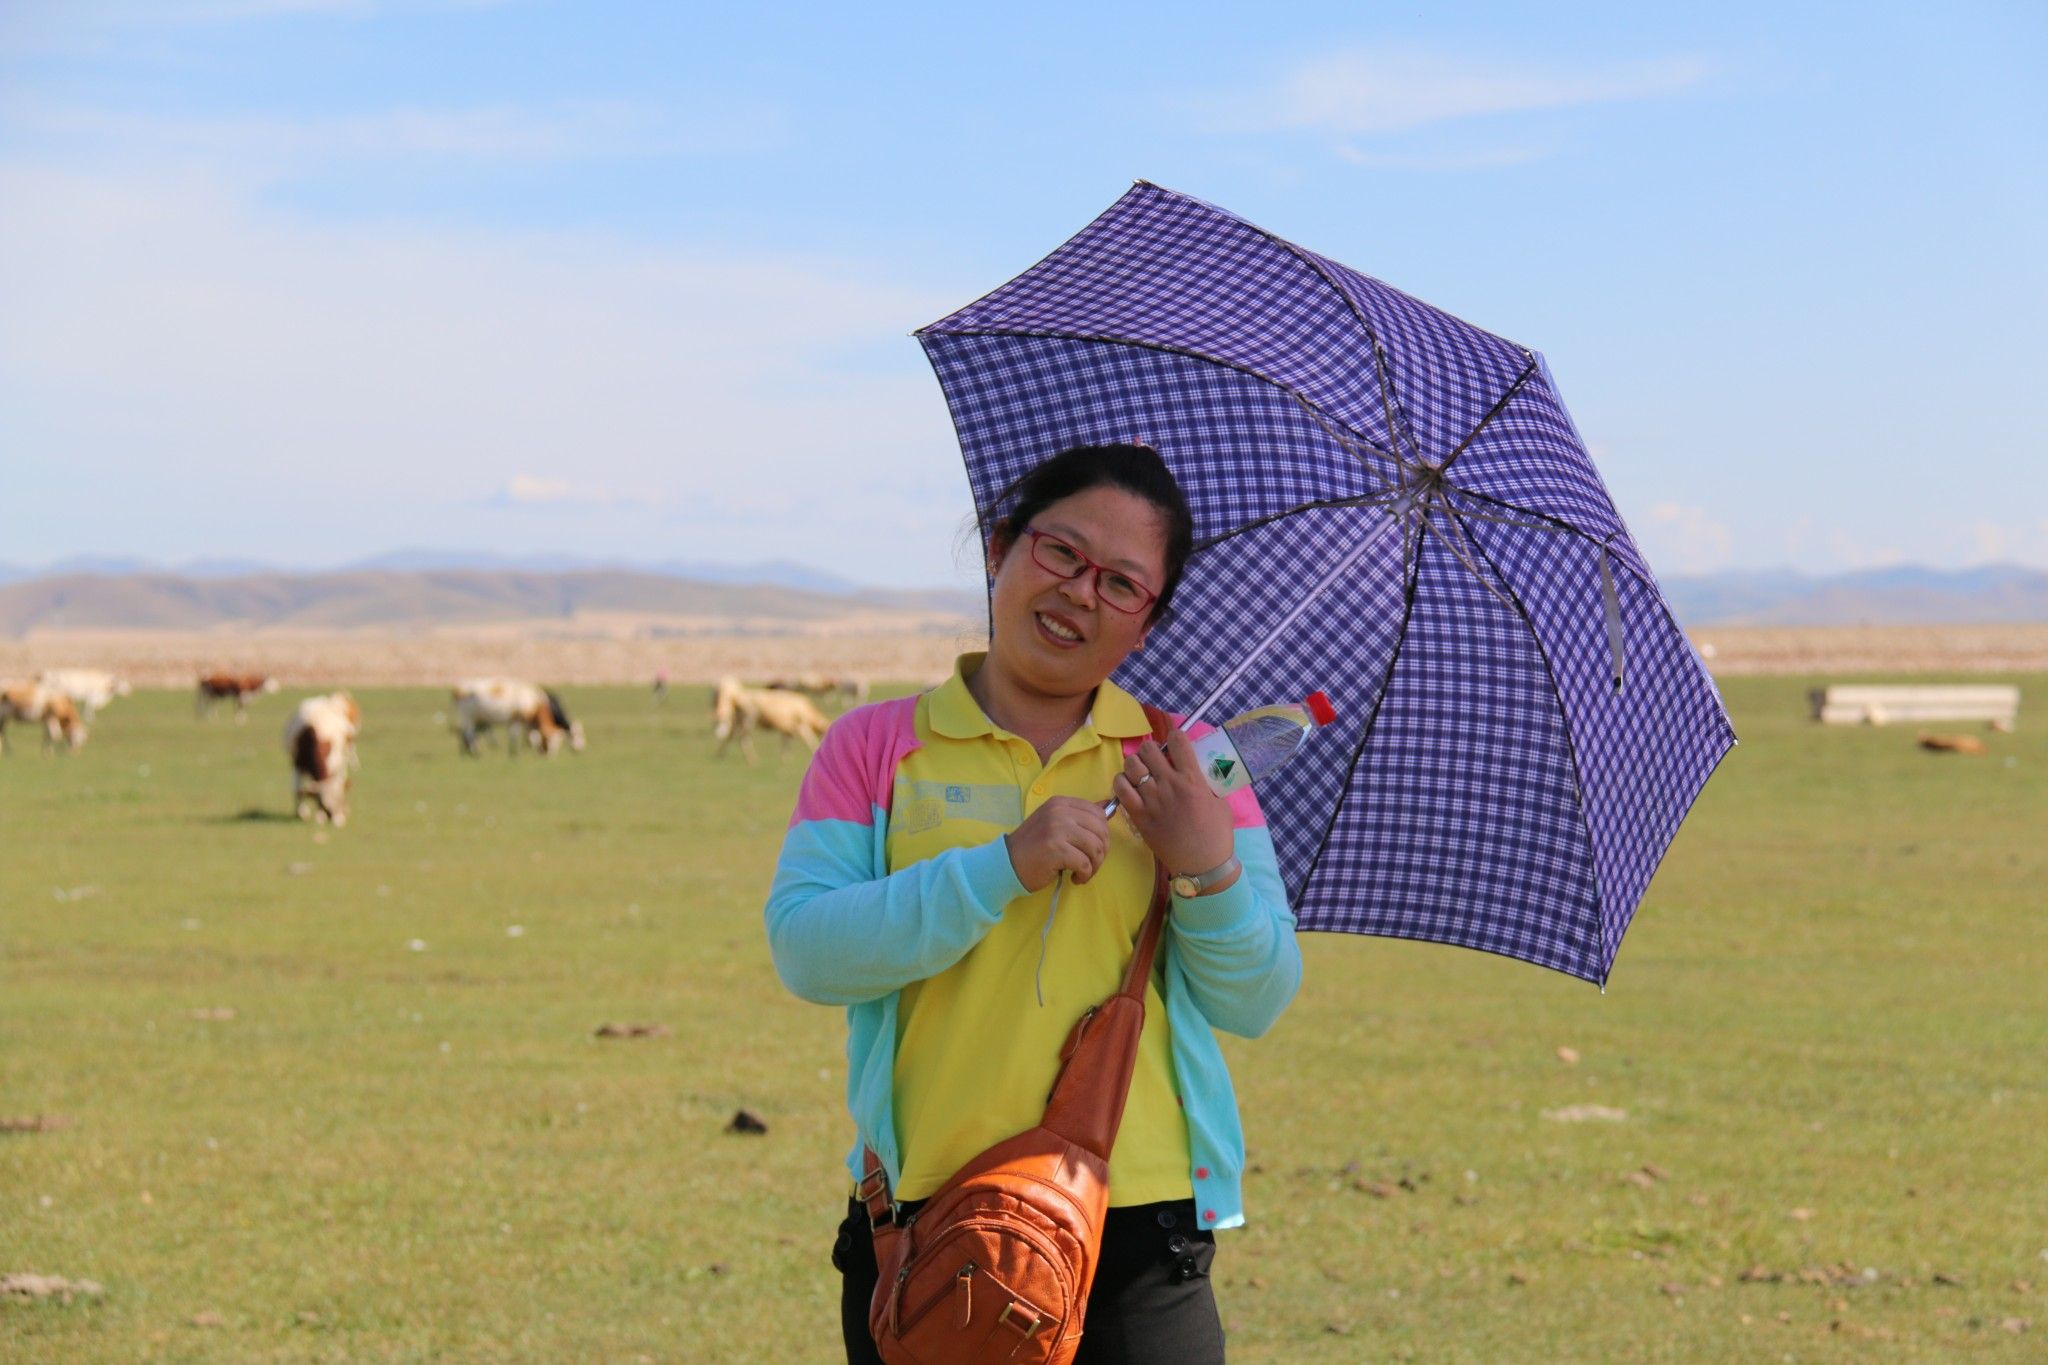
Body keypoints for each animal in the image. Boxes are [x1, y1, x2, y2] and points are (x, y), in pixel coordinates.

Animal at [444, 679, 581, 757]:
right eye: (574, 735)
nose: (580, 749)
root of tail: (457, 689)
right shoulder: (518, 719)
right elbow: (519, 736)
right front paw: (515, 753)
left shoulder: (524, 721)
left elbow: (529, 736)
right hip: (468, 715)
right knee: (469, 733)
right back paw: (475, 753)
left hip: (476, 717)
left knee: (467, 733)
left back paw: (467, 751)